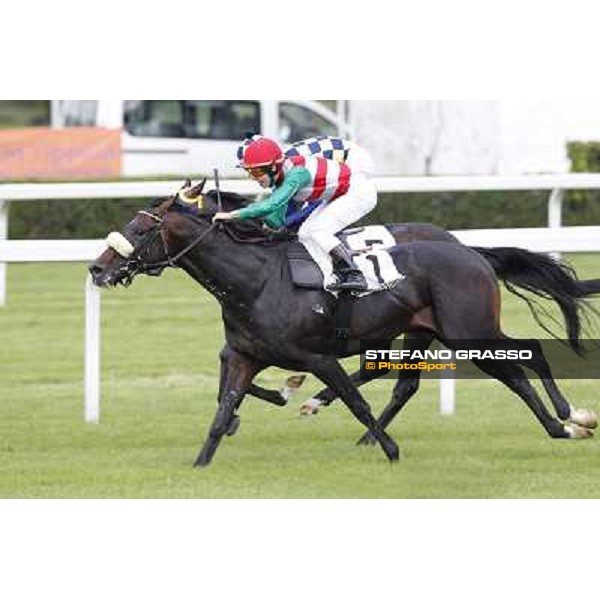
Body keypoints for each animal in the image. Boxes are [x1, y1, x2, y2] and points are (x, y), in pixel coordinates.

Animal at [89, 180, 600, 466]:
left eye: (141, 229)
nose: (97, 268)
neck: (257, 279)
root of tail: (471, 252)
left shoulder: (318, 356)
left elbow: (356, 402)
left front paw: (389, 449)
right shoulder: (244, 355)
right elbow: (222, 406)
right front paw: (203, 460)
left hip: (466, 330)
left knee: (520, 362)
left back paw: (567, 422)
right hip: (427, 330)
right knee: (410, 379)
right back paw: (568, 418)